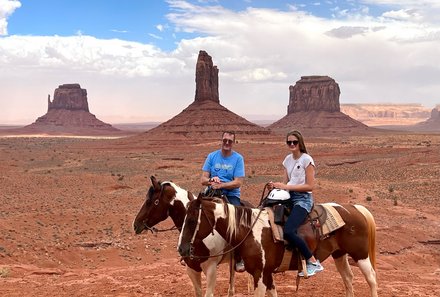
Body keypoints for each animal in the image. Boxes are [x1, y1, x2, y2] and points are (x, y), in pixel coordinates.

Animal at [177, 194, 376, 296]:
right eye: (183, 217)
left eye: (192, 220)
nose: (182, 249)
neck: (249, 230)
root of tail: (356, 208)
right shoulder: (267, 273)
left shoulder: (259, 274)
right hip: (340, 254)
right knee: (348, 279)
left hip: (360, 255)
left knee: (371, 279)